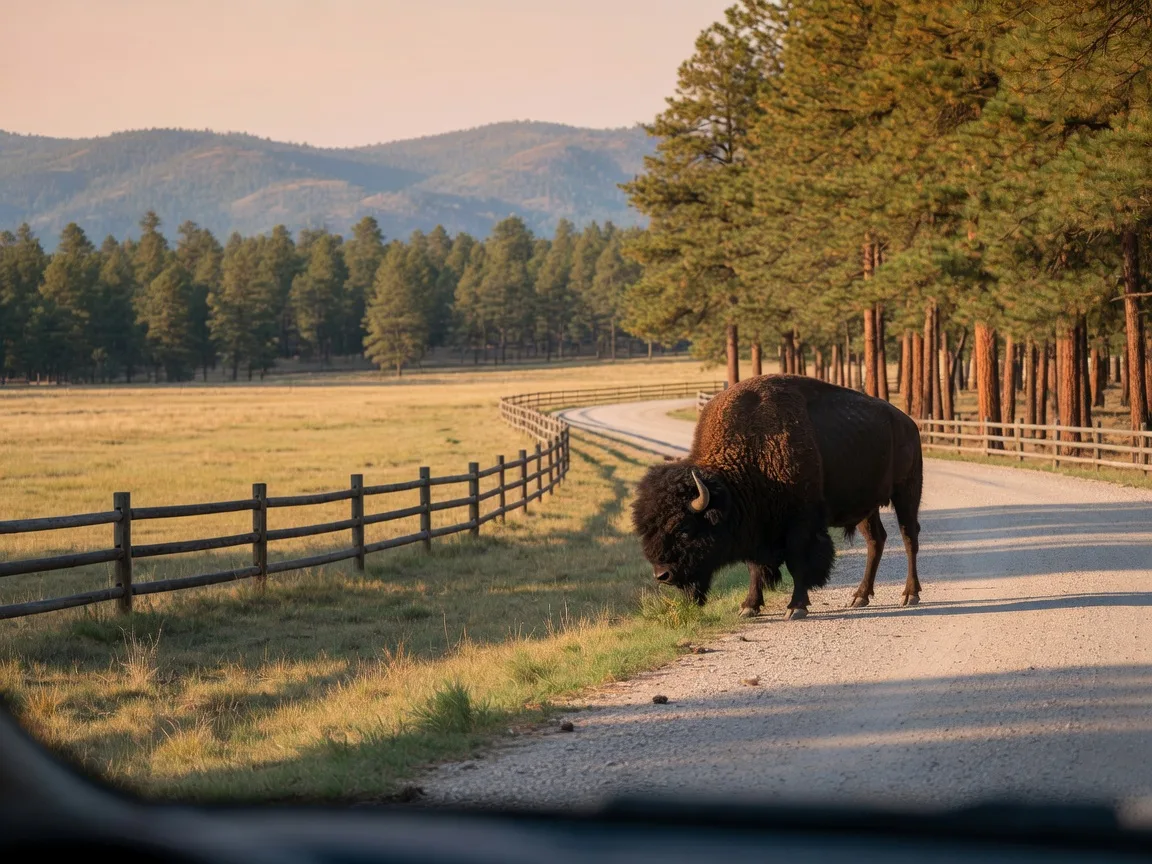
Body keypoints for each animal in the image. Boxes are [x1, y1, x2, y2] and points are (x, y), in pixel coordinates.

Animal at [631, 374, 923, 619]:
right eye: (648, 529)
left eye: (684, 529)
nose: (663, 574)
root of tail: (909, 423)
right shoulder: (755, 528)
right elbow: (755, 567)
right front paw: (749, 607)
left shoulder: (800, 525)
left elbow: (798, 564)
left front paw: (796, 607)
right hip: (866, 507)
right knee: (876, 540)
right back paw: (860, 597)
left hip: (906, 493)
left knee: (909, 537)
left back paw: (910, 594)